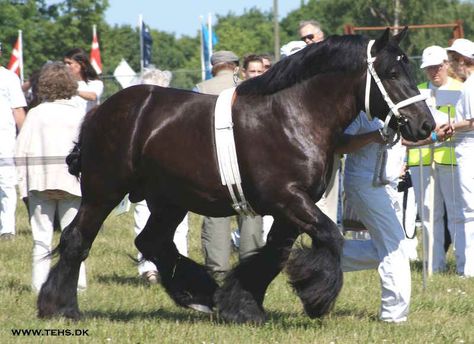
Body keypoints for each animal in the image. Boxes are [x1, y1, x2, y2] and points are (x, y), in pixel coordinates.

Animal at [39, 28, 436, 324]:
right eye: (392, 73)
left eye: (409, 70)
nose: (425, 125)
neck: (293, 115)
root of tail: (100, 112)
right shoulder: (288, 199)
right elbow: (329, 238)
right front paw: (315, 297)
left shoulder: (291, 207)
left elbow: (274, 254)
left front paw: (242, 305)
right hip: (103, 193)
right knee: (77, 239)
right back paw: (60, 307)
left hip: (169, 201)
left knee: (152, 242)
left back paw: (200, 294)